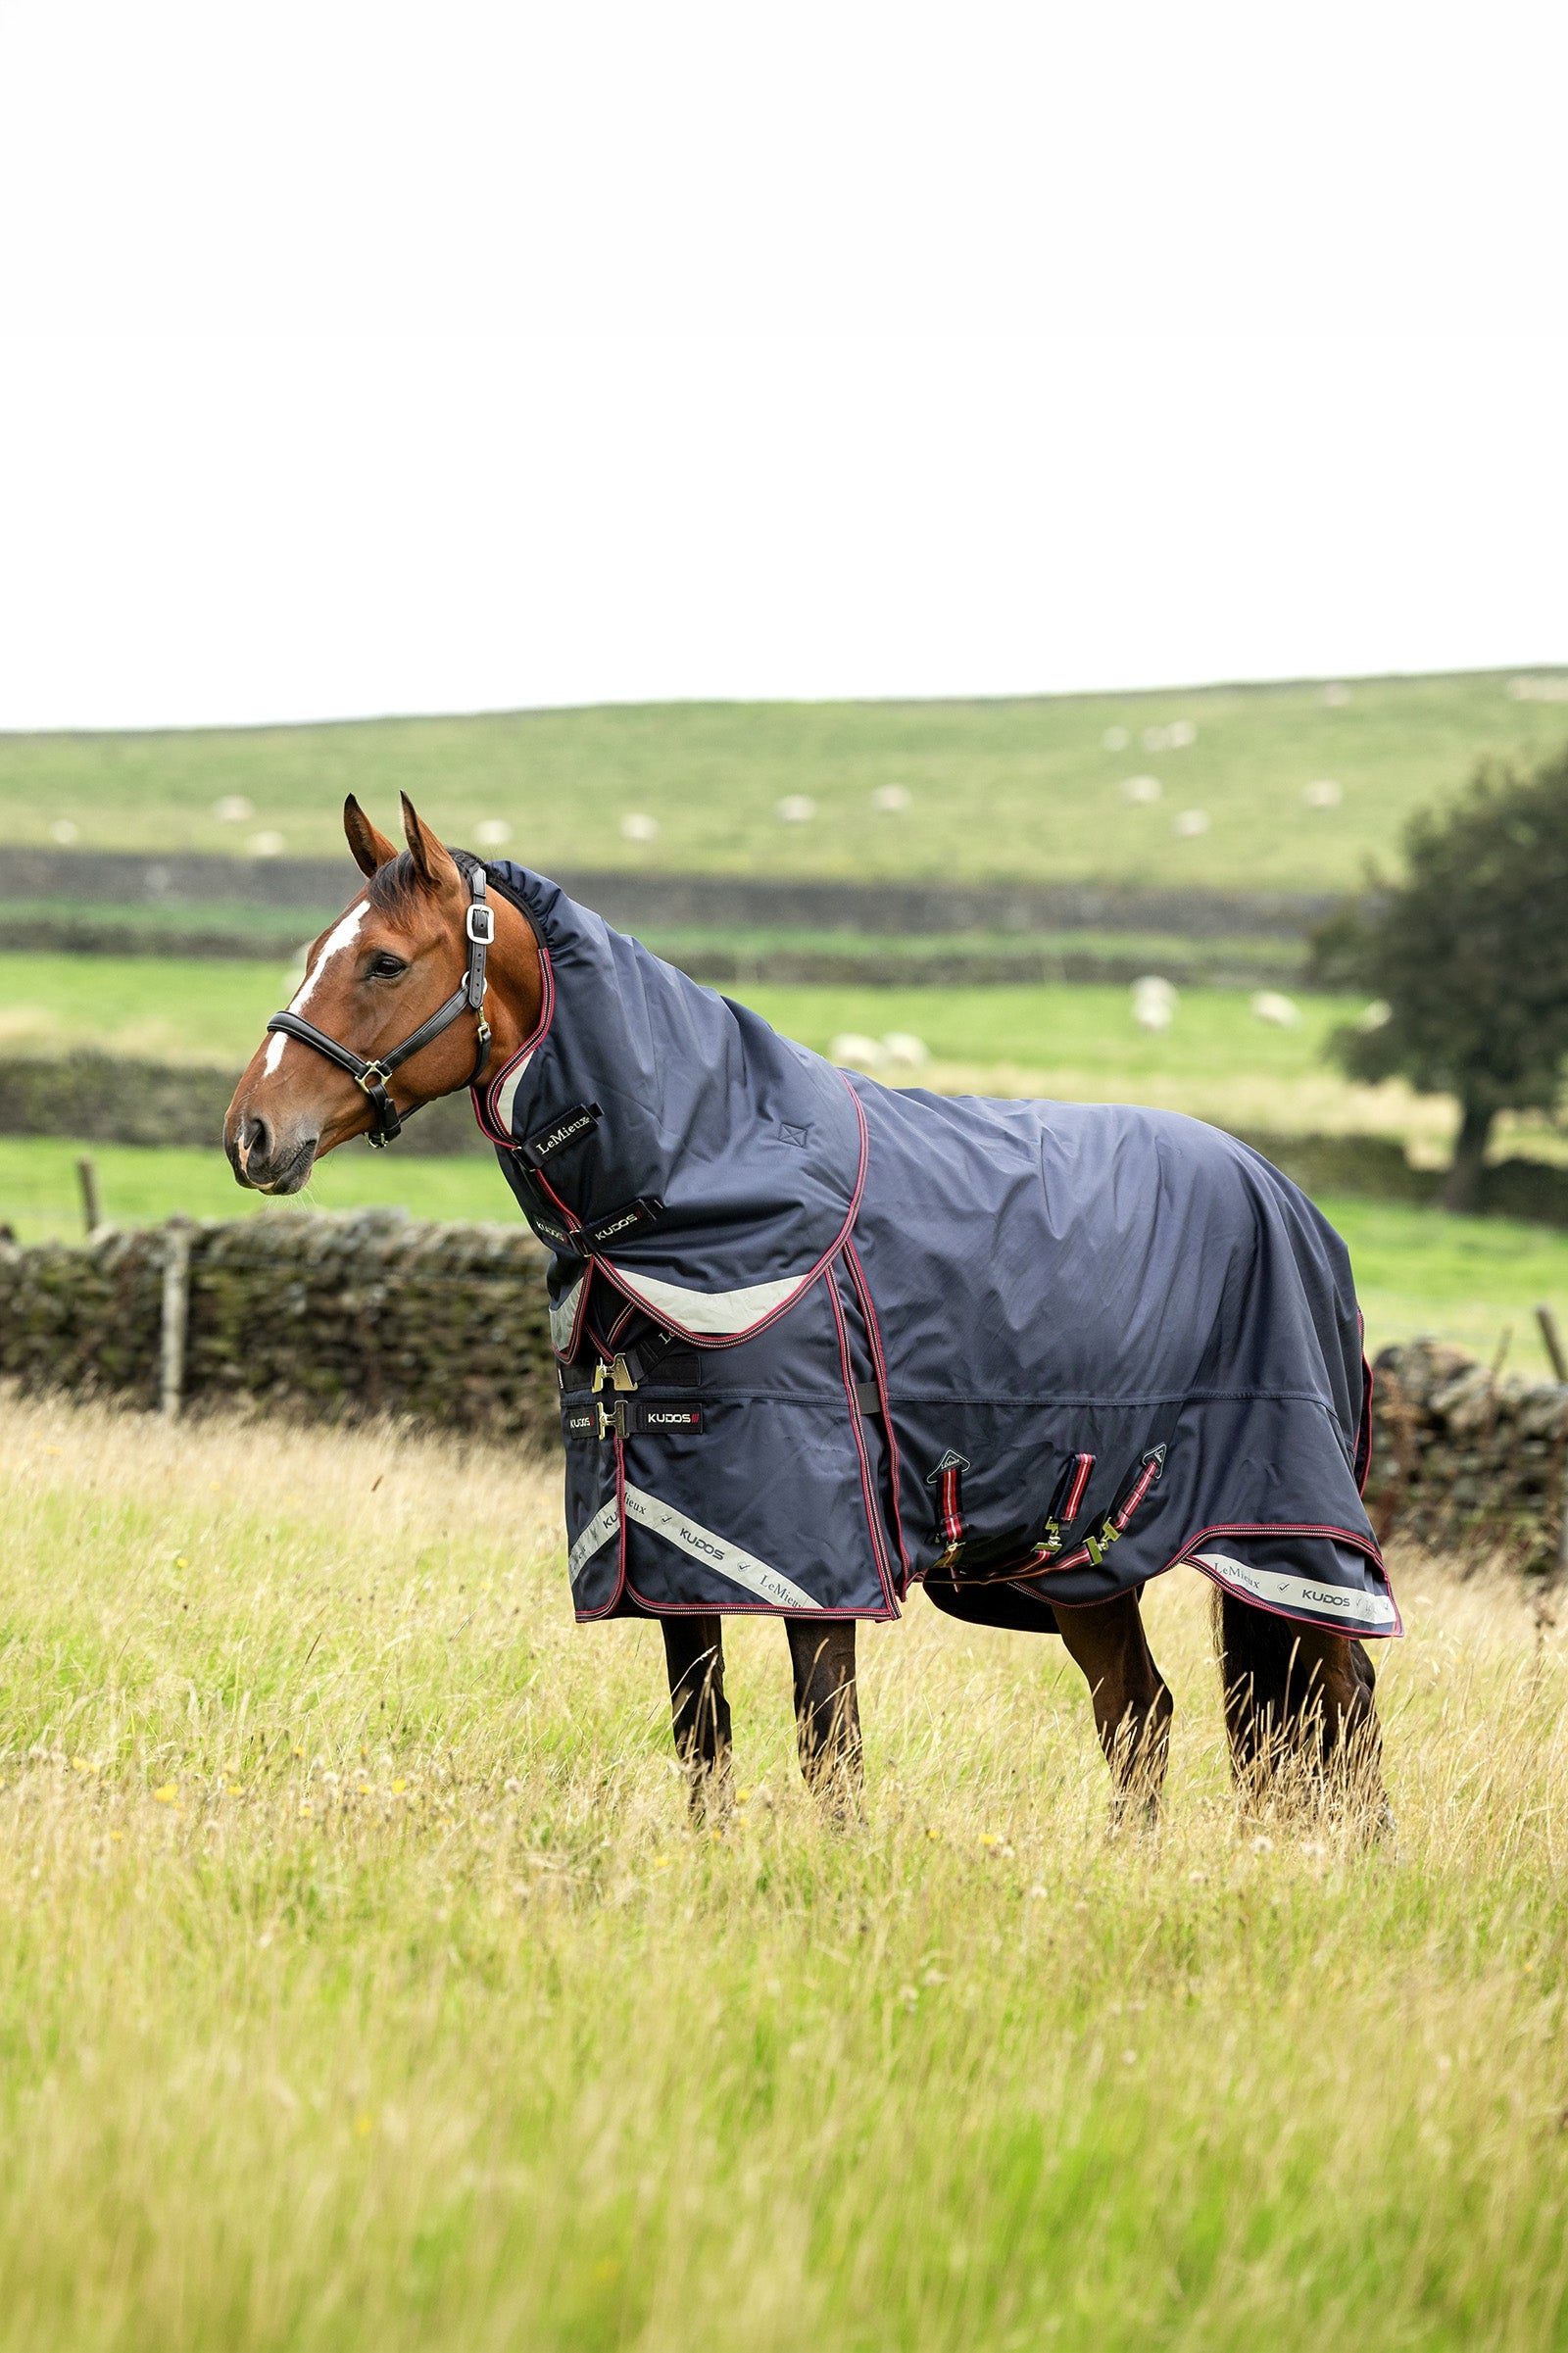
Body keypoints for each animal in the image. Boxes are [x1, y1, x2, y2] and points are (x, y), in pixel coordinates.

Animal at [224, 794, 1393, 1827]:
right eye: (320, 950)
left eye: (383, 961)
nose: (251, 1133)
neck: (705, 1181)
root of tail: (1292, 1202)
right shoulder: (672, 1553)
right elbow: (703, 1743)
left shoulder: (818, 1560)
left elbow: (829, 1753)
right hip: (1087, 1558)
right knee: (1140, 1718)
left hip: (1290, 1538)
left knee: (1344, 1713)